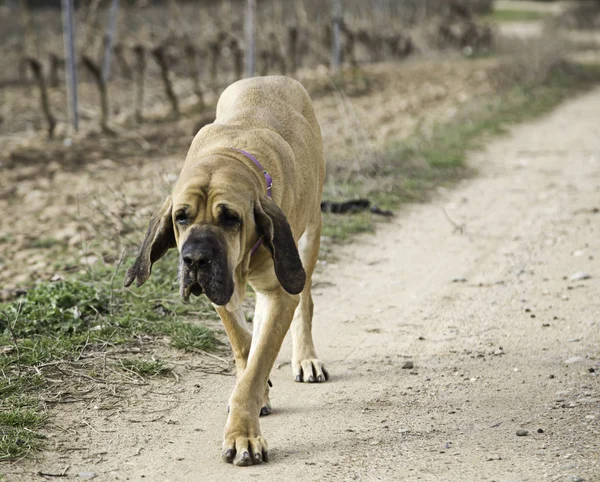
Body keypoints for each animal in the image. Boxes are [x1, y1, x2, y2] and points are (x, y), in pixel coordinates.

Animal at [123, 77, 328, 466]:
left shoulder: (281, 290)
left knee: (306, 302)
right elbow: (245, 348)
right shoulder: (224, 294)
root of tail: (272, 77)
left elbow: (257, 362)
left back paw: (306, 358)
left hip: (309, 237)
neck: (234, 154)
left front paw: (243, 434)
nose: (195, 260)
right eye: (181, 217)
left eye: (230, 218)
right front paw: (258, 394)